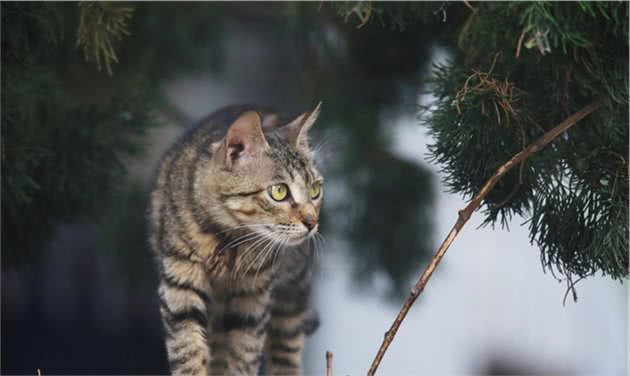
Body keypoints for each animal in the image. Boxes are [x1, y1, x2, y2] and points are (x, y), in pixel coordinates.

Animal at [149, 103, 326, 376]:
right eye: (279, 192)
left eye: (315, 191)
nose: (312, 222)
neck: (228, 238)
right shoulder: (180, 283)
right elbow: (188, 352)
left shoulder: (254, 299)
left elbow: (244, 357)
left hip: (292, 291)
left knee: (286, 350)